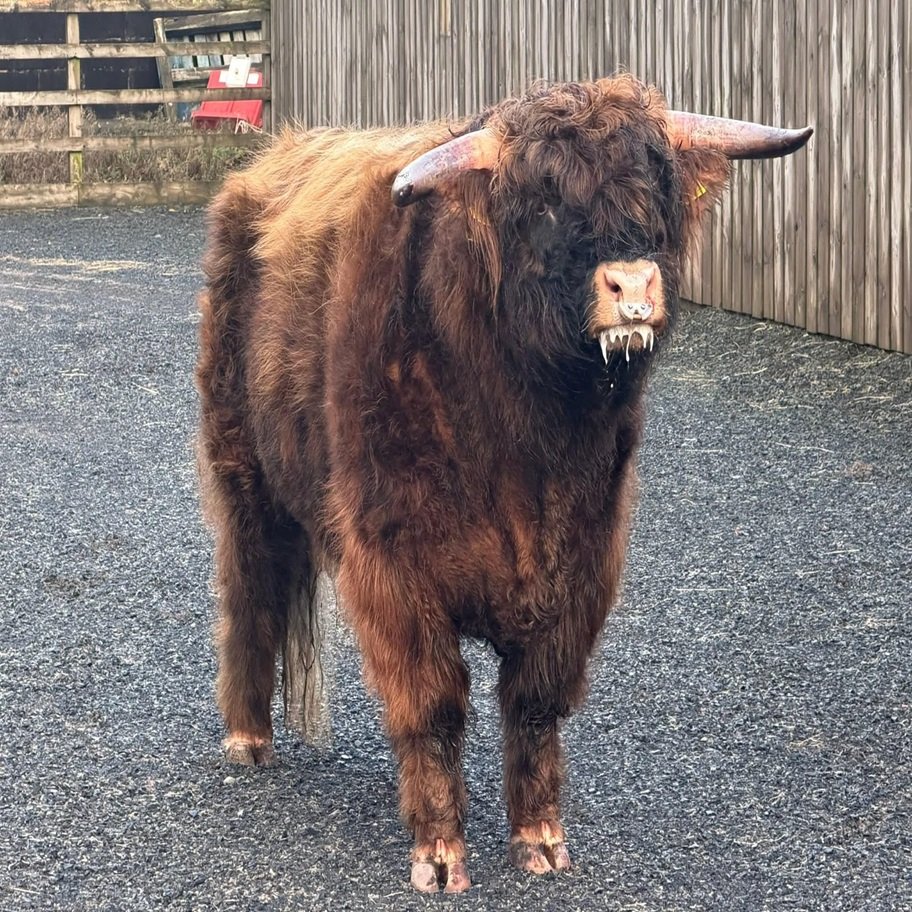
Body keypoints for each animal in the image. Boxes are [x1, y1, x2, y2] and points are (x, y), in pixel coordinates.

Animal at [196, 74, 811, 893]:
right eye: (544, 203)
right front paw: (439, 853)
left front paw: (540, 839)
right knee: (249, 586)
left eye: (657, 189)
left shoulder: (583, 560)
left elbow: (536, 701)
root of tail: (262, 168)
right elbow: (433, 703)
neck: (528, 440)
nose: (634, 285)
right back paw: (246, 737)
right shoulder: (393, 565)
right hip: (242, 471)